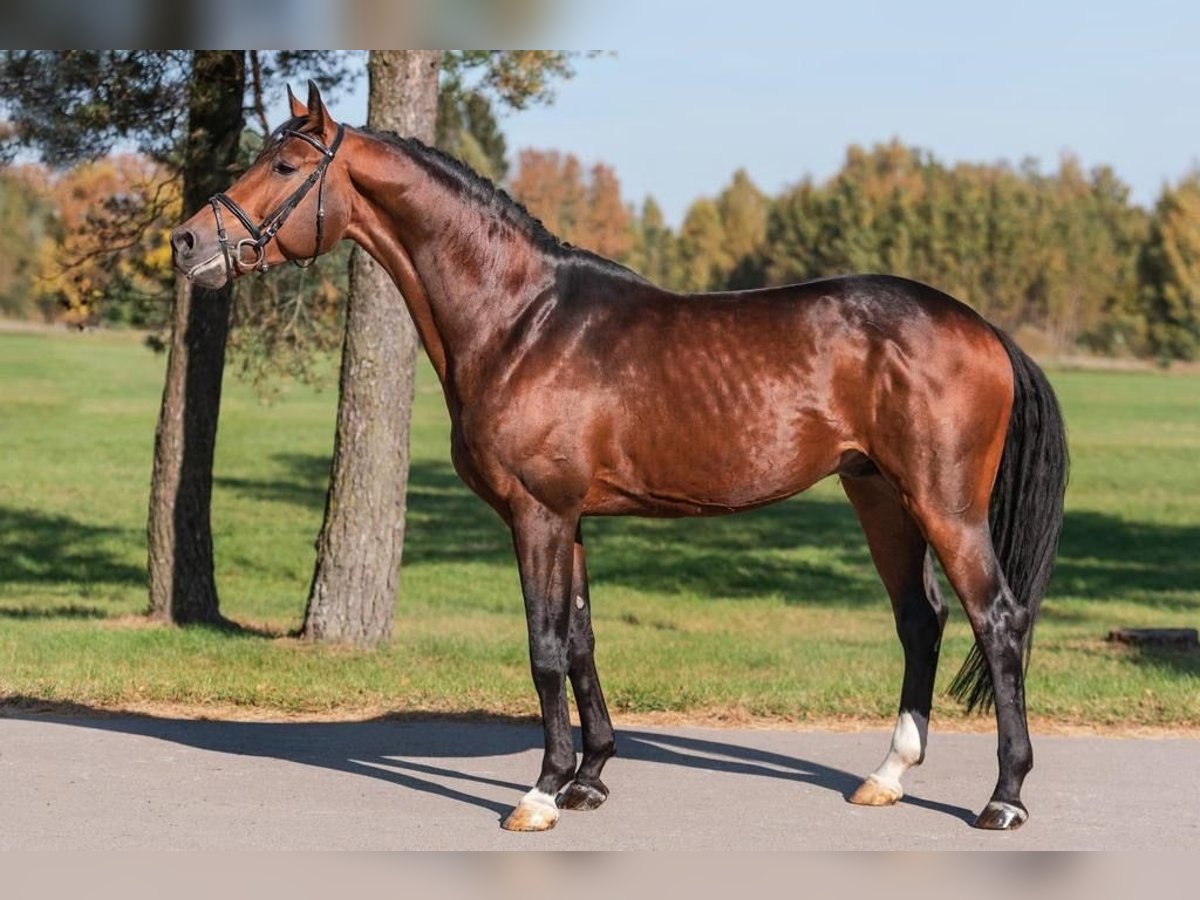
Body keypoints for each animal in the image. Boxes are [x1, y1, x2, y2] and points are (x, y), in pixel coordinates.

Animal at [171, 86, 1070, 840]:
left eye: (285, 166)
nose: (186, 241)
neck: (520, 319)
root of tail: (980, 327)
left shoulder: (536, 514)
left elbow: (543, 647)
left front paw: (540, 792)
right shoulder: (569, 518)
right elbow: (581, 641)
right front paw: (589, 777)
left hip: (943, 504)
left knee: (997, 620)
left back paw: (1004, 797)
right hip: (880, 496)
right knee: (921, 620)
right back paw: (886, 776)